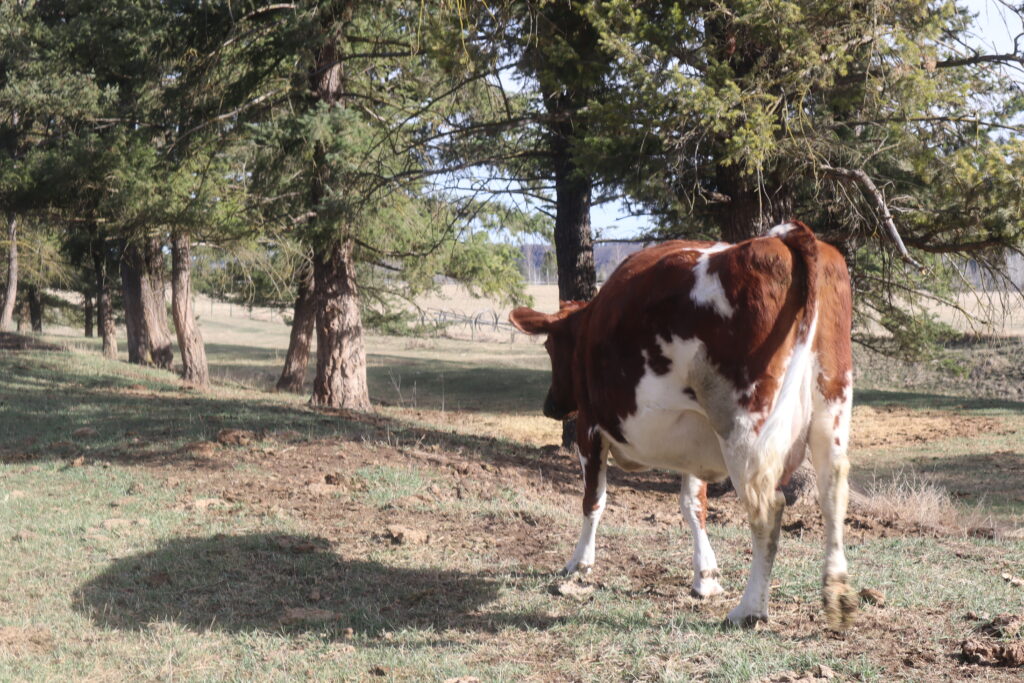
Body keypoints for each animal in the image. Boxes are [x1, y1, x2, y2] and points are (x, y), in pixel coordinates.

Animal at [509, 221, 856, 629]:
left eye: (549, 347)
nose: (550, 406)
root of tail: (783, 237)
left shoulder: (590, 429)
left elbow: (593, 500)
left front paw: (579, 563)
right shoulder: (696, 439)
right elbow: (694, 505)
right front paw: (705, 576)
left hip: (743, 427)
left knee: (768, 509)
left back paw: (749, 609)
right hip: (830, 407)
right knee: (833, 491)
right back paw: (837, 594)